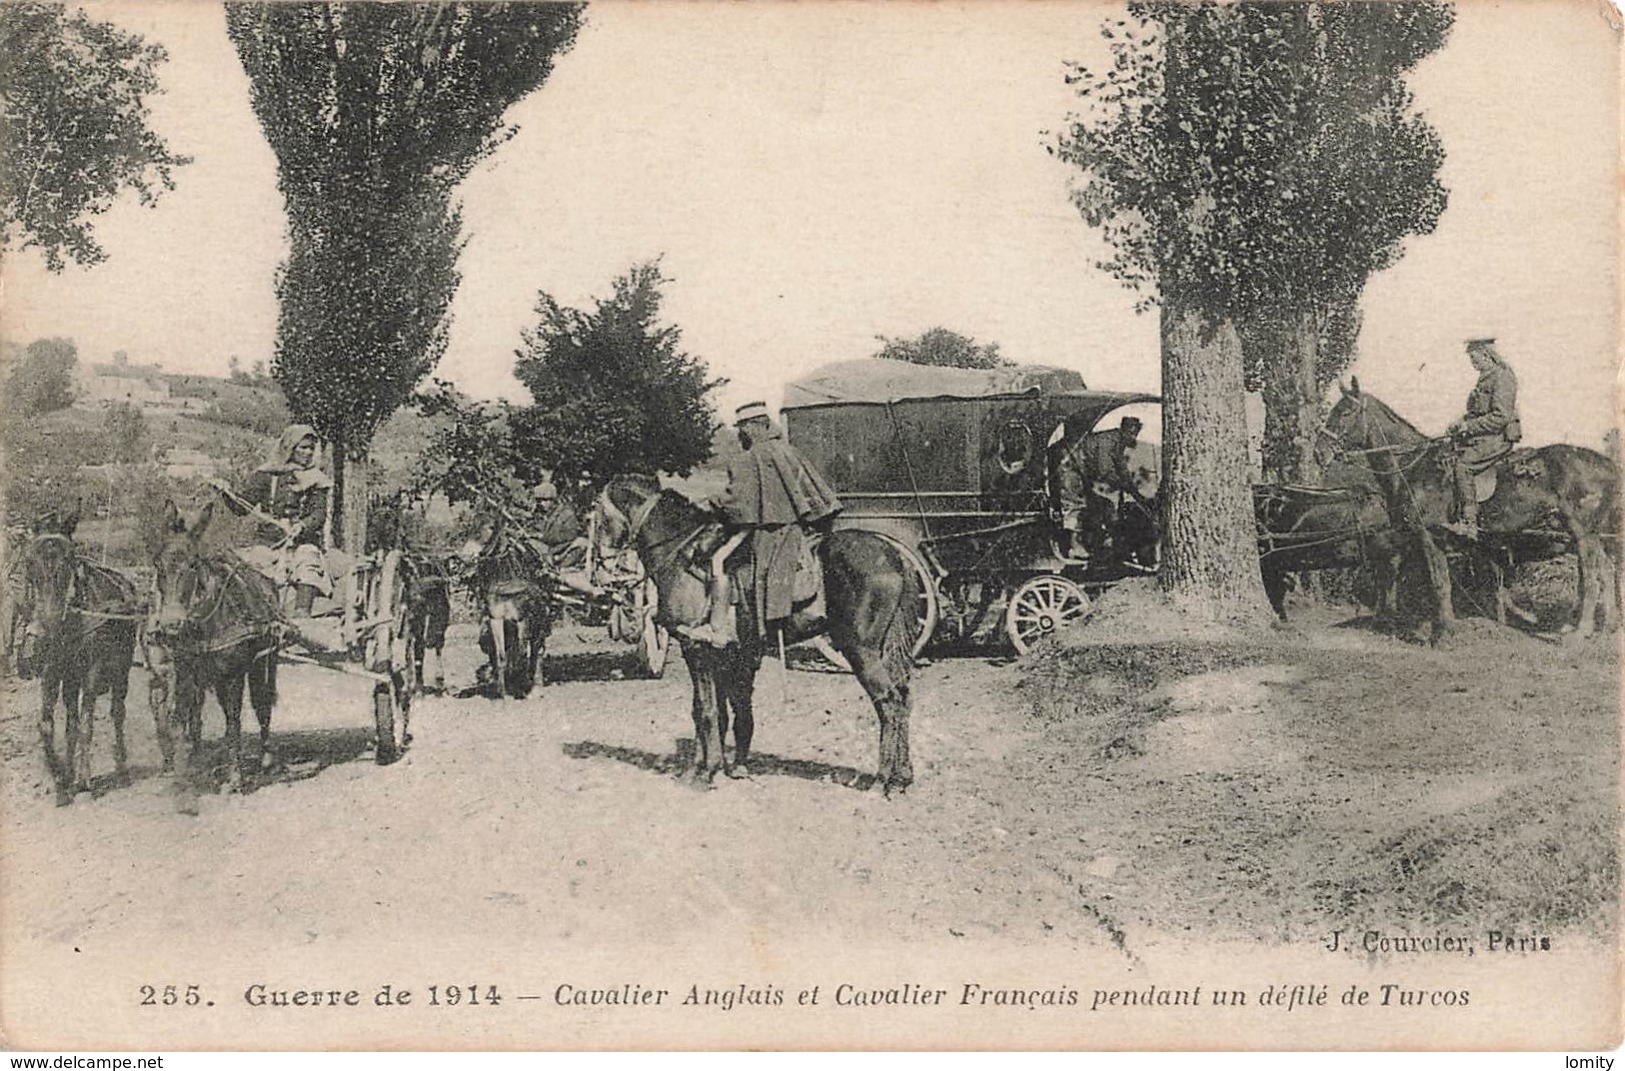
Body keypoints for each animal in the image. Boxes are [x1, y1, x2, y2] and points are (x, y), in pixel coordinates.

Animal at [17, 510, 143, 806]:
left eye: (68, 560)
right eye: (29, 563)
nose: (44, 634)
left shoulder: (92, 672)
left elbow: (87, 724)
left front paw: (86, 780)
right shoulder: (52, 673)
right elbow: (48, 725)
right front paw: (61, 780)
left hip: (120, 670)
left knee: (117, 713)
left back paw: (121, 770)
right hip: (71, 680)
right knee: (71, 721)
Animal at [147, 497, 281, 793]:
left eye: (193, 564)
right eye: (159, 565)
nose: (171, 624)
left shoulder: (234, 676)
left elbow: (233, 723)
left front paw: (235, 778)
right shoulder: (184, 674)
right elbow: (178, 722)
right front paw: (183, 776)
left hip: (264, 661)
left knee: (262, 703)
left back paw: (267, 757)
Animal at [468, 513, 555, 705]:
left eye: (491, 527)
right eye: (472, 524)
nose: (464, 556)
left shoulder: (523, 619)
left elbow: (522, 655)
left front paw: (521, 688)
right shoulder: (497, 619)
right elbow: (501, 656)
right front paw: (503, 694)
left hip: (540, 618)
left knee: (537, 649)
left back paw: (535, 686)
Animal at [601, 474, 929, 796]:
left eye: (597, 513)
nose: (605, 572)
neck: (680, 554)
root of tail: (896, 556)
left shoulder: (695, 648)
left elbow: (706, 710)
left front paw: (705, 772)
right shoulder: (728, 653)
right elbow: (724, 711)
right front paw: (720, 767)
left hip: (861, 651)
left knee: (888, 703)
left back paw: (881, 781)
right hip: (885, 650)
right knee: (903, 699)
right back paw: (902, 778)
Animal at [1326, 381, 1618, 640]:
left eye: (1345, 412)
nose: (1321, 451)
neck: (1414, 469)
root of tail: (1609, 464)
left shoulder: (1430, 536)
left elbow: (1438, 582)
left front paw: (1444, 633)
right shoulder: (1410, 537)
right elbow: (1403, 574)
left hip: (1582, 532)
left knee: (1591, 575)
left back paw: (1580, 631)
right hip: (1591, 535)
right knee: (1605, 570)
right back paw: (1606, 626)